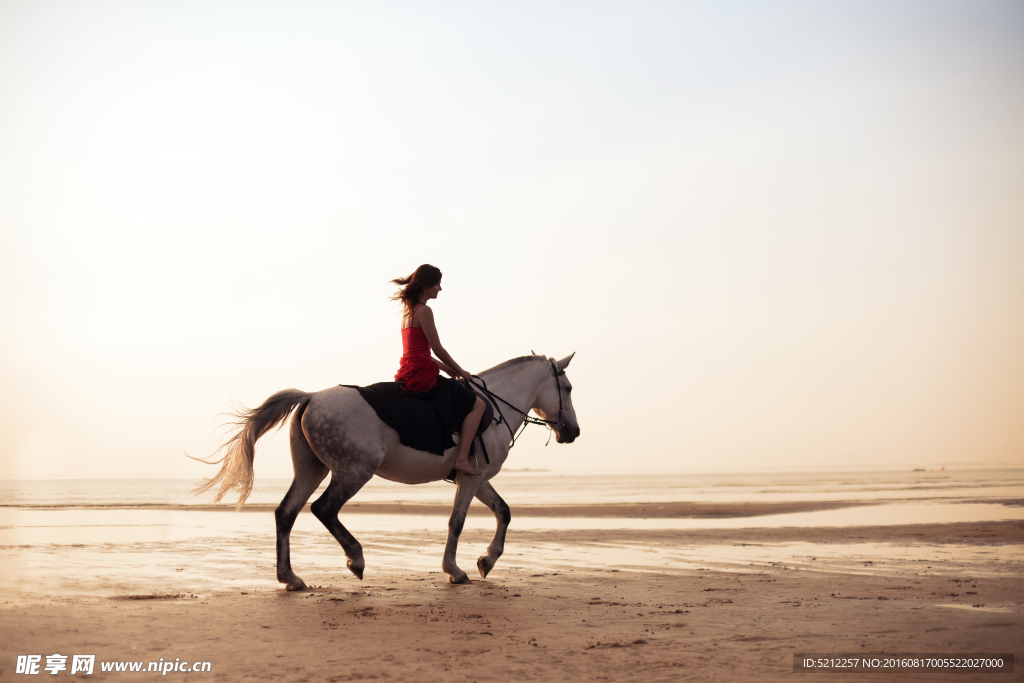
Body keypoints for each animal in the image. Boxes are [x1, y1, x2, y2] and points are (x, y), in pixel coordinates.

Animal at [192, 352, 577, 589]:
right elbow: (457, 522)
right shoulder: (470, 479)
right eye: (569, 388)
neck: (493, 406)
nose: (572, 432)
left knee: (286, 513)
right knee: (323, 509)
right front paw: (454, 570)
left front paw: (488, 559)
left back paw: (291, 578)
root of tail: (312, 396)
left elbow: (504, 512)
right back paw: (356, 559)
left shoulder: (478, 481)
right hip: (354, 471)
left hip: (311, 470)